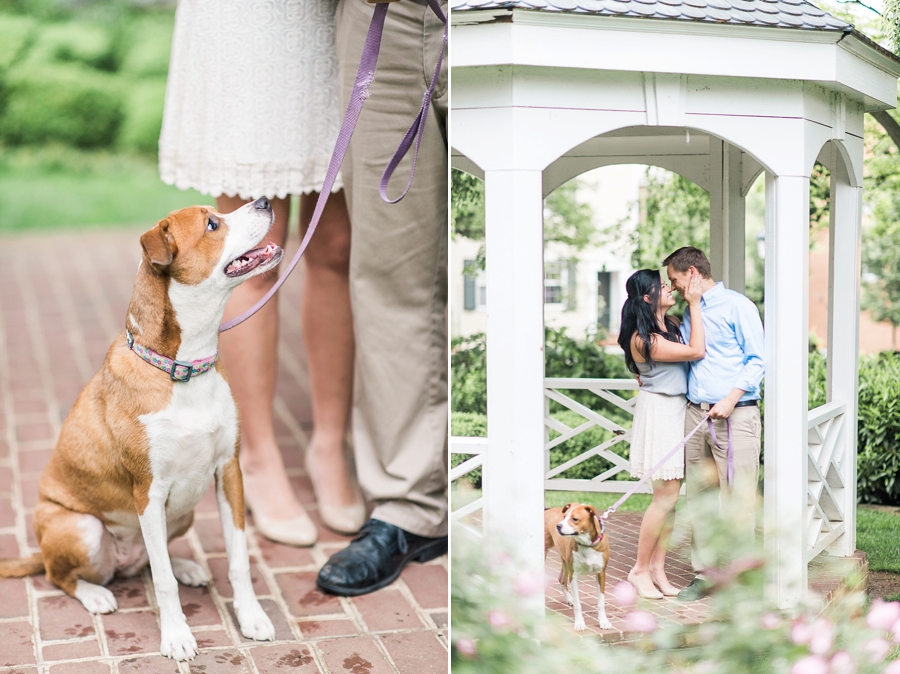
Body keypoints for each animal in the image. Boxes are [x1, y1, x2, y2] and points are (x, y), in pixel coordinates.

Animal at [0, 197, 284, 660]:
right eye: (212, 224)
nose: (264, 200)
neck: (182, 368)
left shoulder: (229, 472)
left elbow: (239, 559)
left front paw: (251, 616)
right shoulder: (148, 491)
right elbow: (164, 584)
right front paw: (177, 635)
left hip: (183, 513)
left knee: (154, 559)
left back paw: (185, 566)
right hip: (79, 528)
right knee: (63, 575)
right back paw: (95, 593)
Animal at [544, 498, 616, 632]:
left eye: (574, 519)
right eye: (564, 516)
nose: (558, 526)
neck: (587, 545)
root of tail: (547, 510)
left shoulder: (601, 574)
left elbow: (601, 602)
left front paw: (604, 622)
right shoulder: (574, 576)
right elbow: (578, 604)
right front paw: (579, 623)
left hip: (565, 561)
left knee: (562, 579)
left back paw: (569, 598)